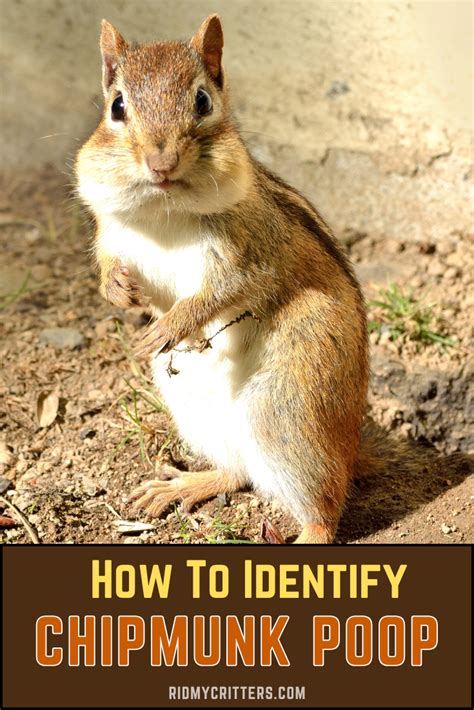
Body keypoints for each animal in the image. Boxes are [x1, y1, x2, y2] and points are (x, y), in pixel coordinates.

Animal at [75, 15, 369, 544]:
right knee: (240, 472)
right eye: (117, 106)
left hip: (286, 406)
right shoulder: (112, 230)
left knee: (325, 509)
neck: (164, 209)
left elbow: (223, 291)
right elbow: (108, 260)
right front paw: (118, 290)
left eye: (203, 101)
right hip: (194, 406)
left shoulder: (249, 253)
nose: (161, 163)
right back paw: (182, 485)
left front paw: (170, 325)